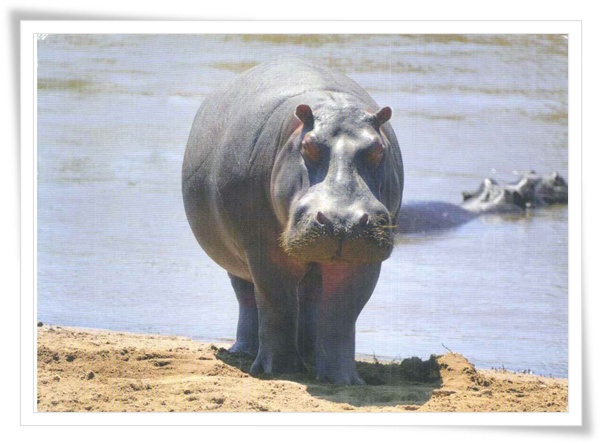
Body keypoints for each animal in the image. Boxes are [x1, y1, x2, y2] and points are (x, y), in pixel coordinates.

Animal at [182, 58, 404, 386]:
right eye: (307, 146)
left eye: (378, 149)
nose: (343, 222)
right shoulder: (263, 249)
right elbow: (277, 303)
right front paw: (278, 369)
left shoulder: (363, 257)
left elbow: (340, 313)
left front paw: (342, 380)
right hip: (236, 257)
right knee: (247, 297)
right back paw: (244, 352)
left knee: (311, 301)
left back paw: (310, 354)